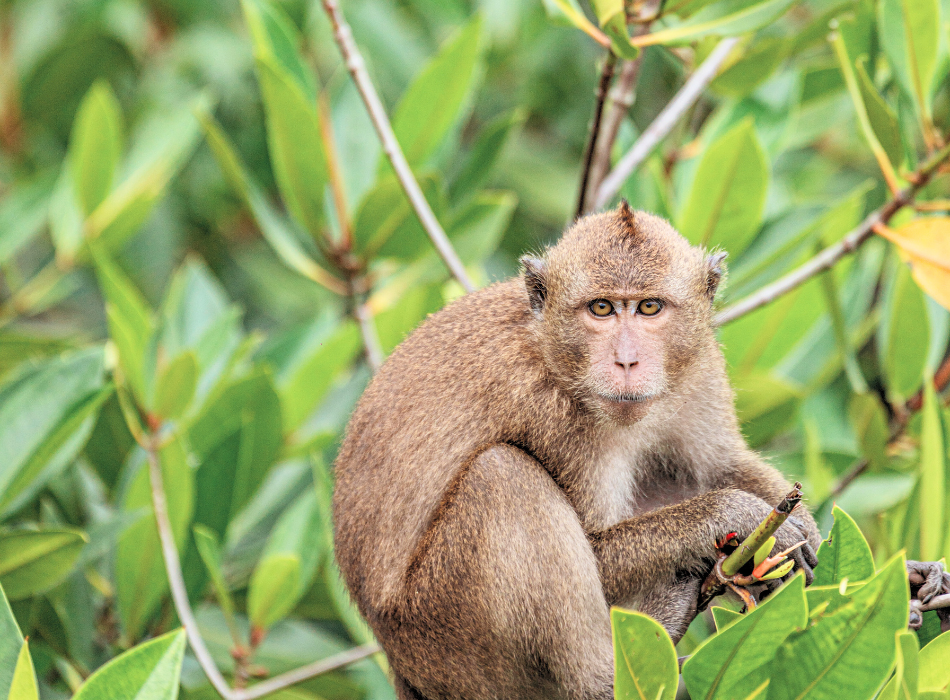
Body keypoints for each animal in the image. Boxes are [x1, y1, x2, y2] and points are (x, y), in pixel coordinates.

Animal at [333, 203, 821, 700]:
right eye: (600, 308)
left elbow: (716, 465)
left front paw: (802, 525)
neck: (552, 347)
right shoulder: (549, 412)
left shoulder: (701, 366)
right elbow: (598, 555)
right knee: (501, 473)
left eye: (649, 307)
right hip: (443, 631)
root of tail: (402, 665)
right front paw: (733, 513)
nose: (626, 361)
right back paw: (607, 677)